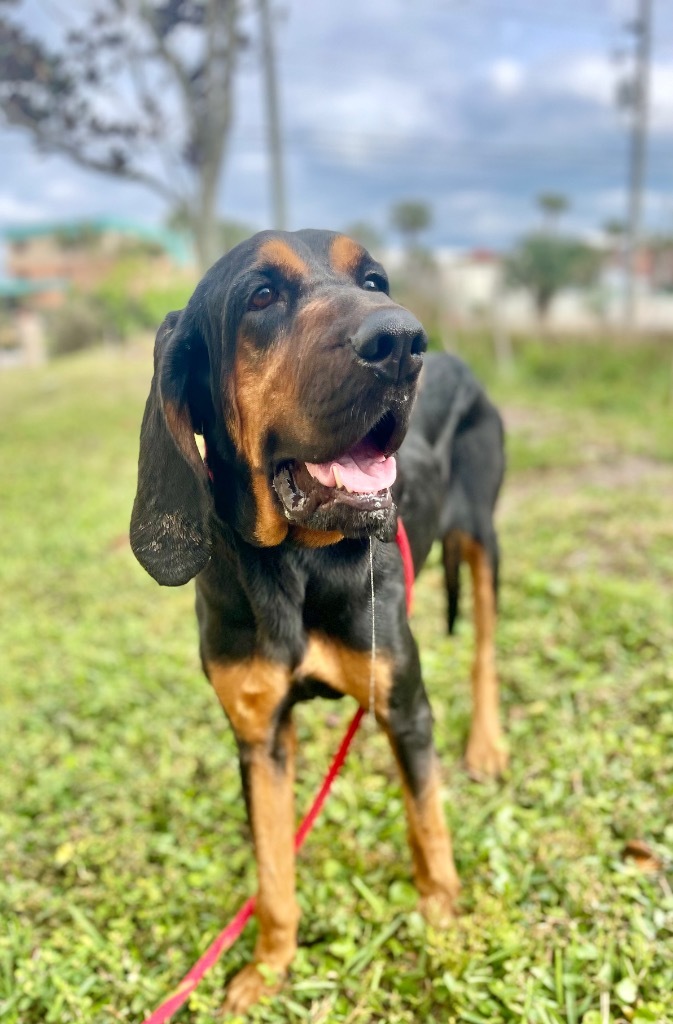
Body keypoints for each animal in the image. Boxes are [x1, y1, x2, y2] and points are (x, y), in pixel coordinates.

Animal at [130, 228, 503, 1011]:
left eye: (374, 280)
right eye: (262, 295)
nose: (402, 342)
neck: (298, 563)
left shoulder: (403, 704)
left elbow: (429, 829)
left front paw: (443, 923)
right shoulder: (259, 735)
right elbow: (273, 870)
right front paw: (266, 970)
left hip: (482, 538)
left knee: (485, 645)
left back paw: (486, 745)